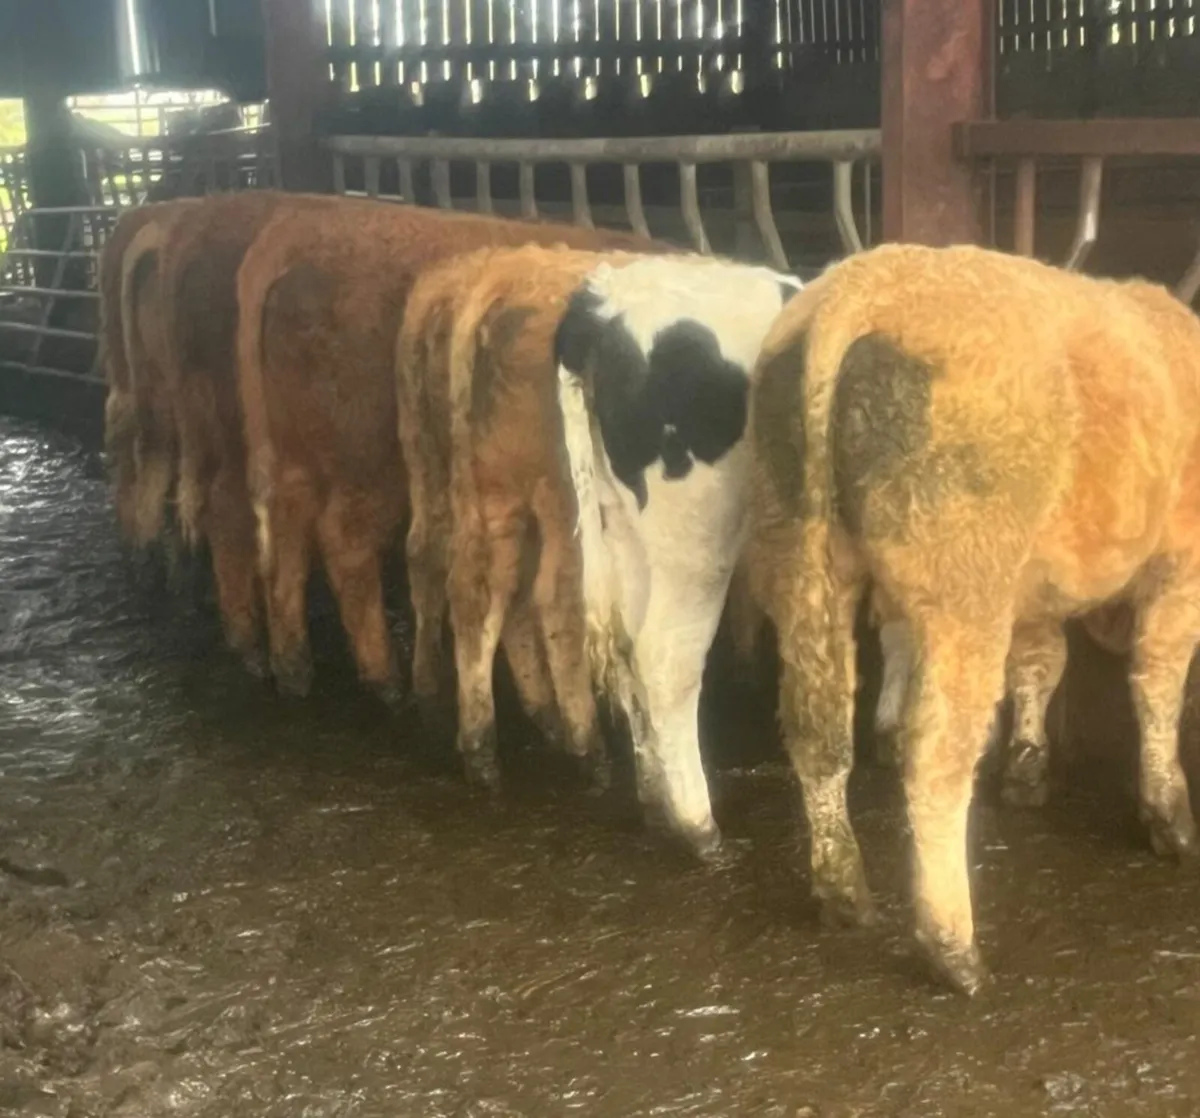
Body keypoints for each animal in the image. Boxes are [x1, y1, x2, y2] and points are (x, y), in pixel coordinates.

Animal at [235, 196, 673, 706]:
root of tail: (291, 240)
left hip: (299, 454)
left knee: (285, 536)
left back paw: (293, 668)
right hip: (366, 463)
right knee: (345, 539)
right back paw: (384, 679)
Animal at [554, 255, 803, 860]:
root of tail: (607, 298)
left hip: (620, 523)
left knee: (626, 646)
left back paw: (654, 797)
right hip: (697, 538)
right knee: (667, 657)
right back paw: (697, 823)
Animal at [743, 241, 1200, 995]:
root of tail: (862, 285)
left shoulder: (1035, 585)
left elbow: (1040, 664)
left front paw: (1027, 767)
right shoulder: (1180, 564)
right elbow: (1157, 683)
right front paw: (1169, 817)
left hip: (801, 559)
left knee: (817, 730)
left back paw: (842, 892)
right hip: (965, 586)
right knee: (935, 755)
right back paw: (952, 947)